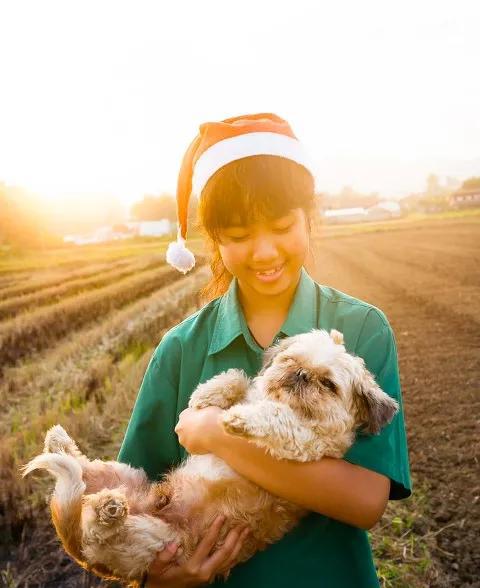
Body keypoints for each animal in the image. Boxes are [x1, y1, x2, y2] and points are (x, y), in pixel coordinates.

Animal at [21, 328, 398, 584]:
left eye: (328, 384)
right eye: (290, 360)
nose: (301, 375)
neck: (278, 397)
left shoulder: (309, 442)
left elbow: (279, 418)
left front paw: (240, 418)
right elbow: (237, 378)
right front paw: (209, 395)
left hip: (157, 541)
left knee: (99, 532)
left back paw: (106, 511)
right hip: (120, 476)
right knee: (82, 469)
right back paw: (60, 443)